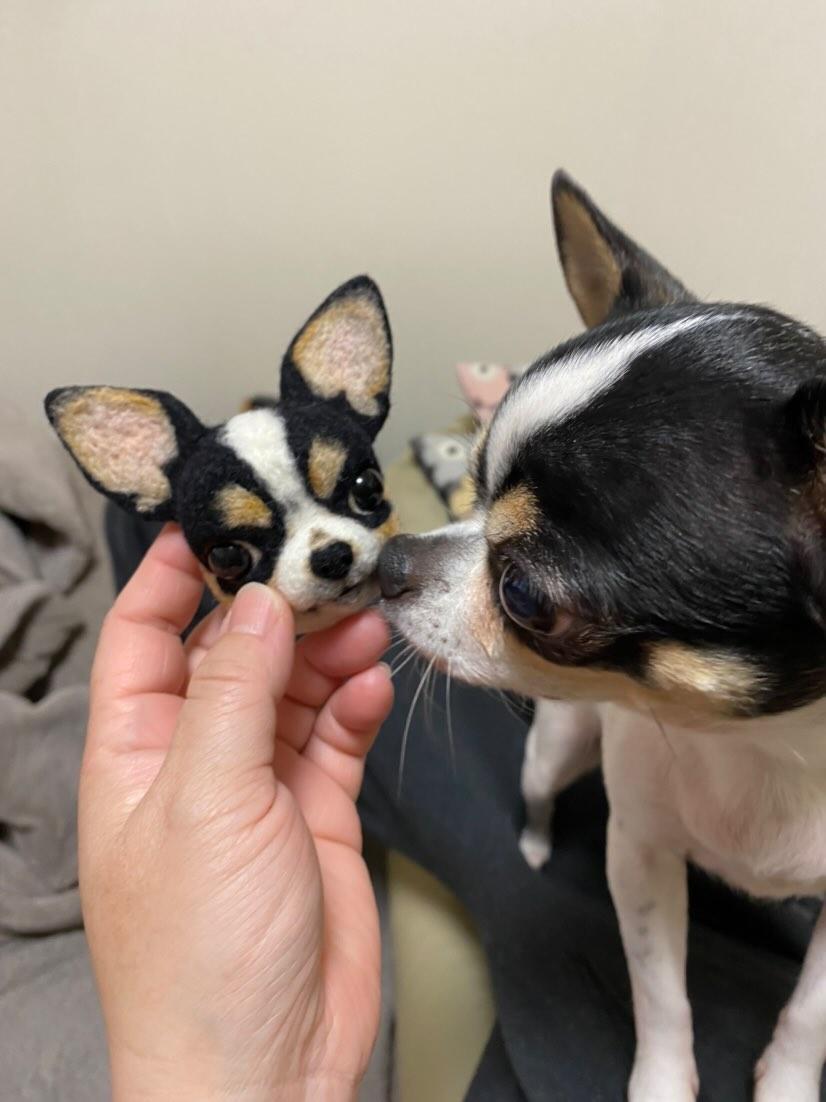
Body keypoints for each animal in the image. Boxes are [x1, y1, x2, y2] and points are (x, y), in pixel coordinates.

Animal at [378, 171, 826, 1101]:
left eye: (522, 593)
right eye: (468, 486)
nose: (391, 558)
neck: (771, 750)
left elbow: (811, 1011)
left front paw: (788, 1084)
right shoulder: (640, 854)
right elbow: (661, 996)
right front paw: (661, 1085)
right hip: (560, 746)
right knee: (540, 791)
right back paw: (535, 846)